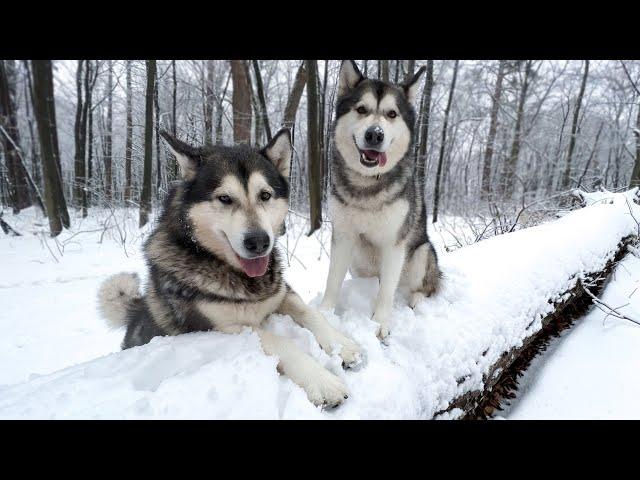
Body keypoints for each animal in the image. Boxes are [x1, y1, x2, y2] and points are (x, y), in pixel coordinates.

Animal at [98, 127, 362, 404]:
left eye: (265, 195)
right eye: (225, 198)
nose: (258, 242)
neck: (243, 278)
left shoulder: (281, 294)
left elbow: (311, 313)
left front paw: (342, 345)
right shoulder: (224, 328)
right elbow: (281, 342)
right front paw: (322, 380)